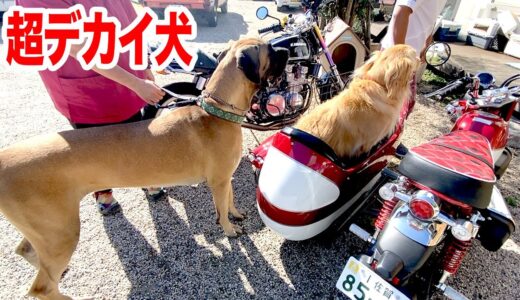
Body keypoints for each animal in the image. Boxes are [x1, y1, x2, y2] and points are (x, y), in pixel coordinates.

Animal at [0, 38, 288, 300]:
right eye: (270, 50)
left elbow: (230, 201)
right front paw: (229, 230)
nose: (286, 49)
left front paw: (236, 215)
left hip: (46, 228)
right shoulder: (218, 180)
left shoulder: (225, 178)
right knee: (41, 287)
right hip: (61, 231)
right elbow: (223, 210)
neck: (216, 112)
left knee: (25, 251)